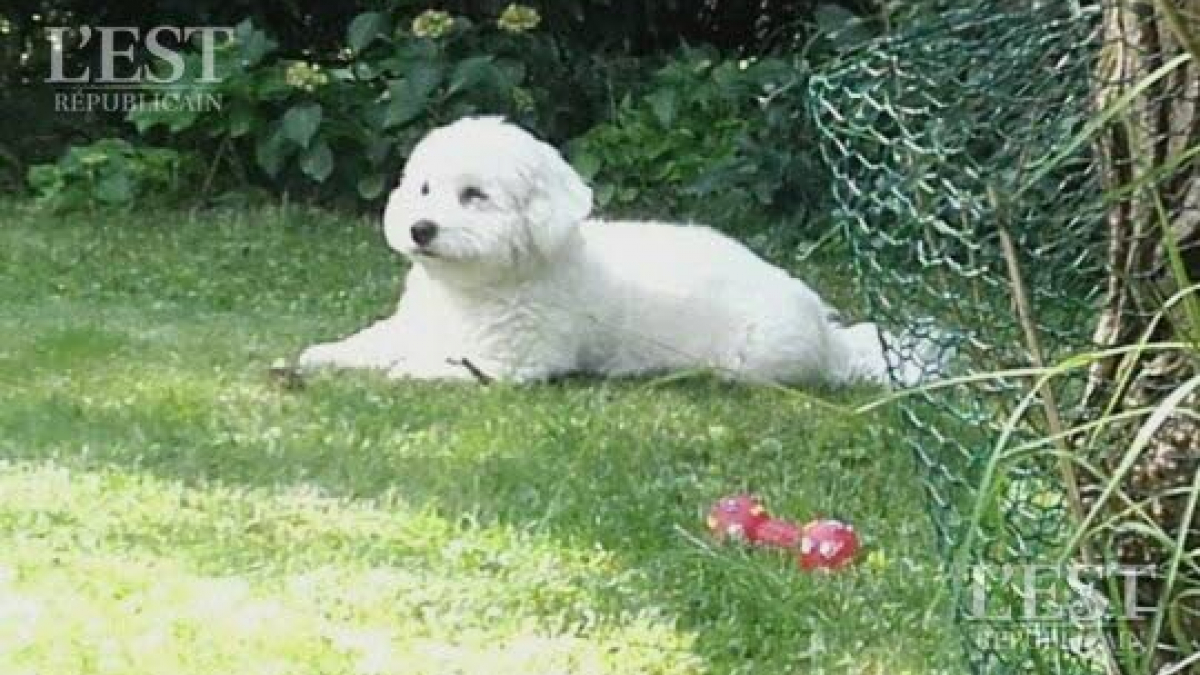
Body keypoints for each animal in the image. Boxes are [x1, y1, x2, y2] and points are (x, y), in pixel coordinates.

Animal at [300, 115, 902, 384]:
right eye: (424, 189)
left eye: (474, 195)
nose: (420, 228)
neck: (477, 287)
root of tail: (828, 333)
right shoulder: (417, 323)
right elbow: (375, 339)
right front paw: (328, 353)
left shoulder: (512, 360)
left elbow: (436, 363)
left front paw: (404, 367)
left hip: (754, 357)